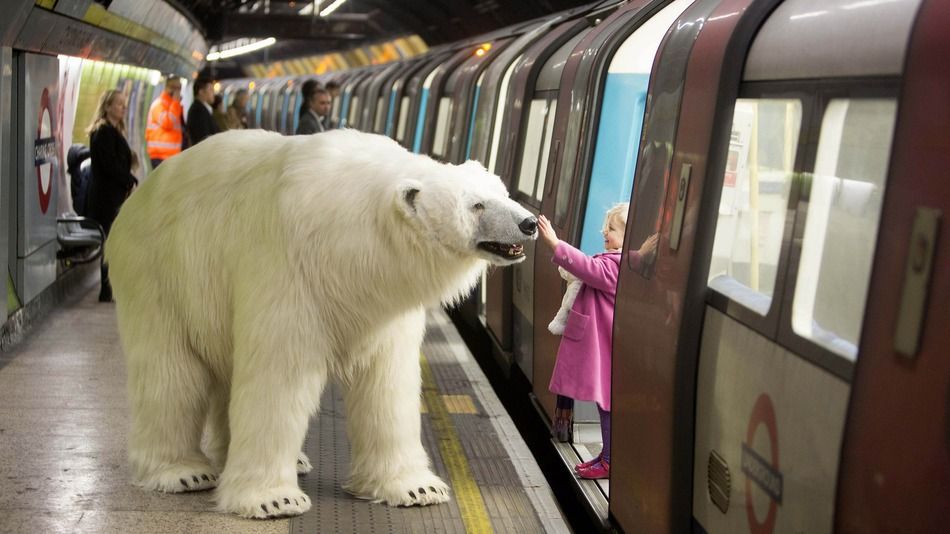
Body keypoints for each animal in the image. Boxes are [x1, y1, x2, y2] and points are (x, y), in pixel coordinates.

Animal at [108, 129, 540, 520]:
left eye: (501, 191)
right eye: (477, 205)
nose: (530, 223)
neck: (350, 241)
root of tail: (136, 198)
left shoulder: (383, 304)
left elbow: (387, 382)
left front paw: (417, 488)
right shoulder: (289, 268)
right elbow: (278, 377)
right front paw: (273, 500)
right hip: (159, 274)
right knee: (171, 374)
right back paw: (183, 472)